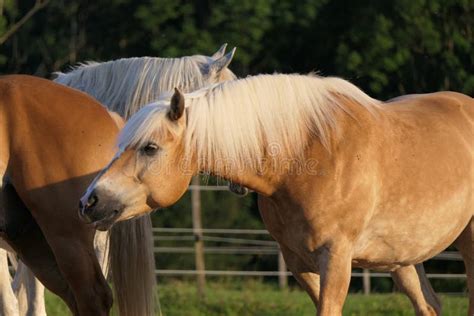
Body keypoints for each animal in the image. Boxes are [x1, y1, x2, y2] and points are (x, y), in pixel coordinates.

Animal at [82, 74, 474, 316]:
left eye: (149, 148)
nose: (90, 201)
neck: (309, 154)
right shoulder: (299, 263)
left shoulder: (336, 259)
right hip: (401, 259)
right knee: (429, 305)